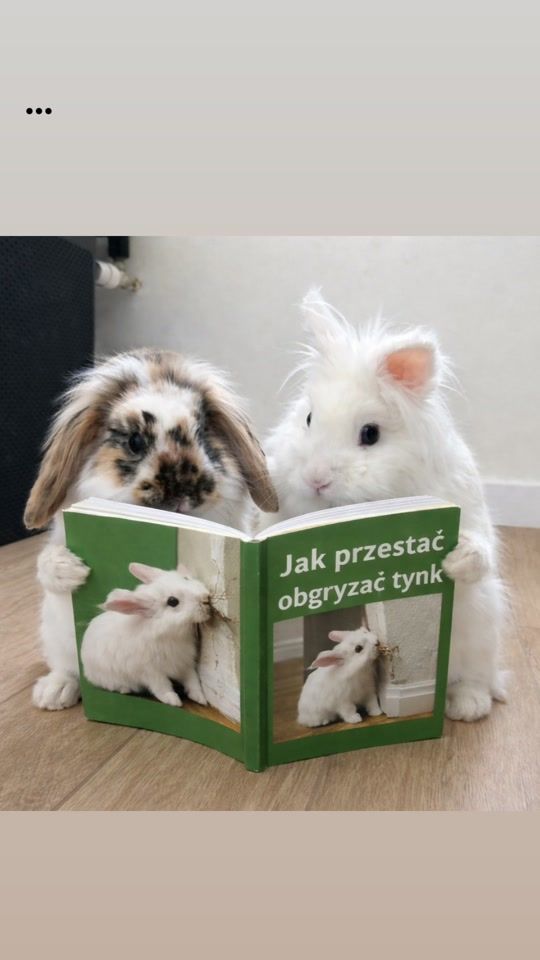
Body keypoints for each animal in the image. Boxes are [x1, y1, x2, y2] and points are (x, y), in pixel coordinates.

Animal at [81, 562, 210, 707]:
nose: (206, 599)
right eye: (172, 601)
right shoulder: (151, 672)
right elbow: (162, 687)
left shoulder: (185, 664)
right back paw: (124, 689)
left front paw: (201, 699)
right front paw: (173, 701)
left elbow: (193, 681)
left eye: (185, 578)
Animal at [257, 289, 508, 723]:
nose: (316, 478)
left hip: (482, 629)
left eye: (370, 434)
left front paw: (456, 561)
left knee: (476, 677)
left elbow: (479, 548)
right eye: (308, 418)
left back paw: (467, 706)